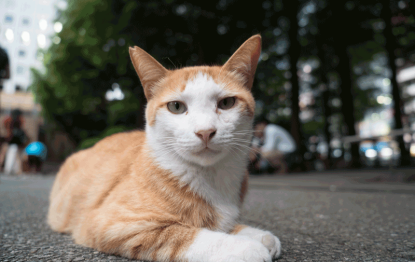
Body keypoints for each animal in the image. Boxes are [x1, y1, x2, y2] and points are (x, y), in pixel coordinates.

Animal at [48, 34, 282, 262]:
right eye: (176, 106)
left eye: (226, 103)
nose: (205, 131)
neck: (210, 176)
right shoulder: (110, 222)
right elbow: (188, 234)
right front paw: (247, 247)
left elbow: (225, 225)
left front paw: (258, 235)